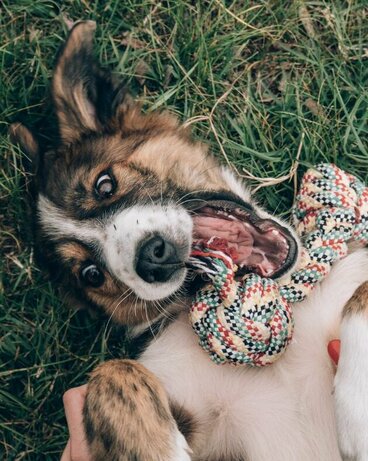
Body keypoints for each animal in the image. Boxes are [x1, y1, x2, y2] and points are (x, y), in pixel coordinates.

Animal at [10, 20, 368, 460]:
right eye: (91, 274)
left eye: (105, 184)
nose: (154, 259)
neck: (284, 297)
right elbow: (111, 372)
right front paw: (155, 450)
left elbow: (361, 293)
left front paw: (356, 411)